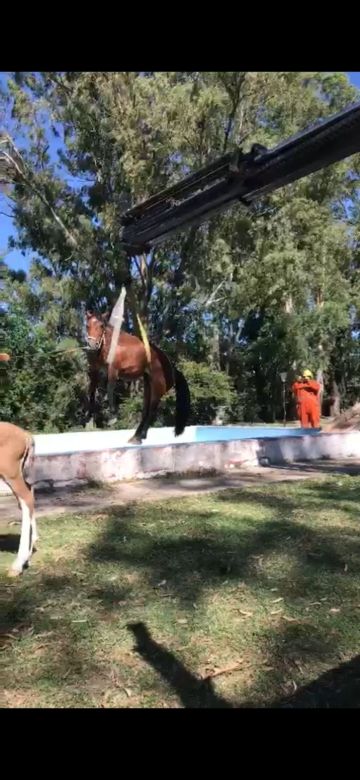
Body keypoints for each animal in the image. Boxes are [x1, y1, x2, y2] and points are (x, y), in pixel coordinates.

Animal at [85, 312, 191, 444]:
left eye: (101, 326)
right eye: (87, 325)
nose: (92, 346)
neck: (109, 346)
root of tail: (172, 369)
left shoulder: (113, 370)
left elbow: (109, 389)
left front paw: (112, 416)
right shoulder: (95, 371)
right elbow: (91, 391)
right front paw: (89, 414)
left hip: (157, 388)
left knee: (151, 411)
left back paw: (140, 436)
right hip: (148, 386)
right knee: (145, 411)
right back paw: (136, 436)